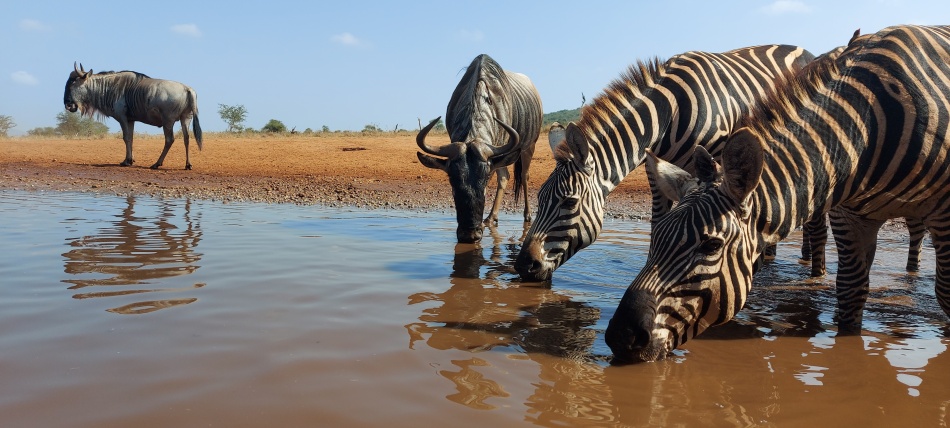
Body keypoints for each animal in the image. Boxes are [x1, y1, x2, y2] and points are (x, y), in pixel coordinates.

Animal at [416, 54, 543, 243]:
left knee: (524, 176)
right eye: (452, 180)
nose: (470, 235)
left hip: (529, 147)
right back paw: (491, 218)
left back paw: (527, 216)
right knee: (505, 177)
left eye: (485, 180)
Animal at [514, 45, 815, 281]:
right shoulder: (654, 169)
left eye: (569, 202)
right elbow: (658, 223)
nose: (523, 266)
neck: (668, 114)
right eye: (539, 197)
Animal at [605, 24, 950, 363]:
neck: (863, 129)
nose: (621, 335)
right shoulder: (849, 216)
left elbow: (945, 293)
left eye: (711, 245)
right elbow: (850, 292)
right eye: (656, 238)